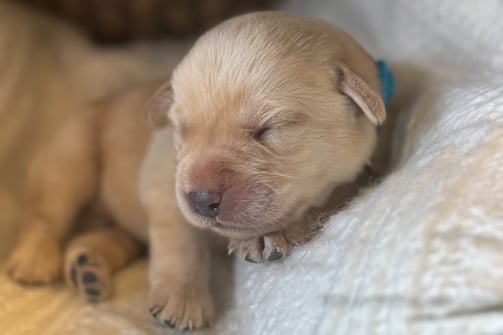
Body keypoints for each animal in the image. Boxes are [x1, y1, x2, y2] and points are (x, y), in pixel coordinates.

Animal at [4, 11, 394, 332]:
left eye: (267, 129)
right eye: (180, 130)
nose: (201, 199)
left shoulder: (355, 176)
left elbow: (324, 201)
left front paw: (273, 233)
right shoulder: (164, 179)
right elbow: (183, 242)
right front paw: (183, 301)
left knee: (110, 236)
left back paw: (87, 267)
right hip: (70, 156)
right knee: (44, 213)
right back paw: (34, 261)